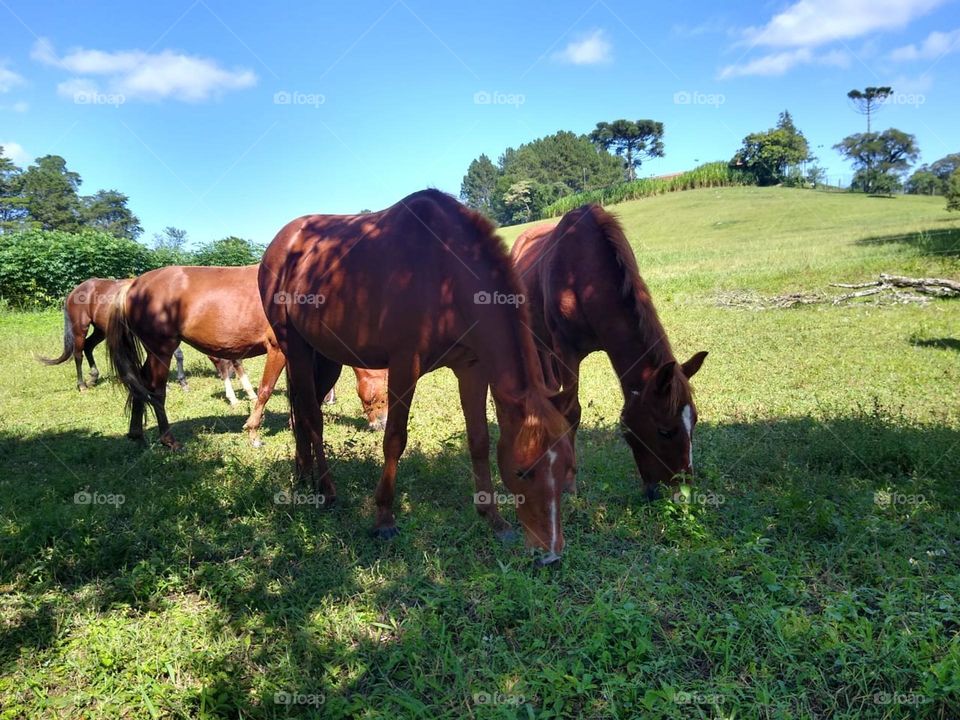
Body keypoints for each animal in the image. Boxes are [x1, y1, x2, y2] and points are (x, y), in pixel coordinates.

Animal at [105, 264, 388, 448]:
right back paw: (168, 439)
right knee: (155, 389)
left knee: (140, 384)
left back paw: (136, 432)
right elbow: (265, 390)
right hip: (162, 349)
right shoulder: (277, 350)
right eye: (383, 393)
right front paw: (253, 433)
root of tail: (133, 284)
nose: (383, 424)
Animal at [259, 189, 575, 564]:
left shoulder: (471, 367)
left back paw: (304, 475)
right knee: (311, 416)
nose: (550, 554)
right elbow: (395, 439)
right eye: (523, 471)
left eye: (568, 469)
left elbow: (479, 440)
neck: (445, 271)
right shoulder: (404, 365)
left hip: (323, 355)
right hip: (295, 347)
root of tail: (281, 242)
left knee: (302, 414)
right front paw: (384, 518)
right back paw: (326, 490)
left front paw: (493, 519)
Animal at [512, 205, 707, 500]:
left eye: (694, 421)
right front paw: (569, 485)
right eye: (665, 431)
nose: (679, 495)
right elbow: (572, 413)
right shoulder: (566, 351)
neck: (583, 276)